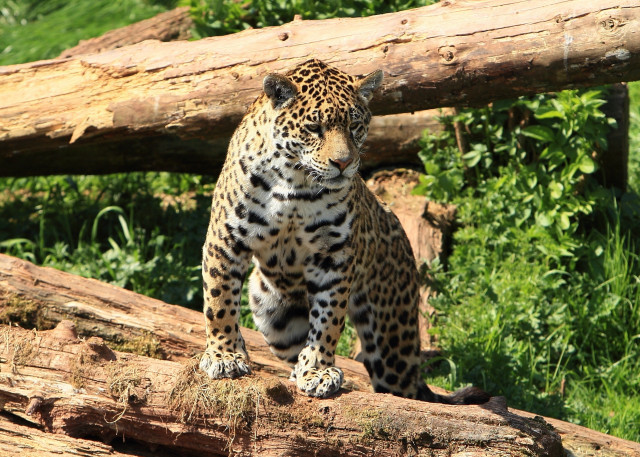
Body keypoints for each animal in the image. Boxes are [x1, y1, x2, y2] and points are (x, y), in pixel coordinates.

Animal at [199, 59, 488, 404]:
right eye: (313, 128)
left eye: (355, 126)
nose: (343, 162)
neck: (295, 182)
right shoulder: (226, 239)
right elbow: (219, 302)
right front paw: (224, 356)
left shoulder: (332, 254)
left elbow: (328, 319)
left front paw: (319, 371)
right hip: (273, 314)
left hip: (391, 337)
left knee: (402, 384)